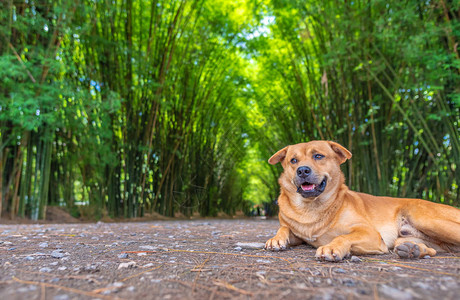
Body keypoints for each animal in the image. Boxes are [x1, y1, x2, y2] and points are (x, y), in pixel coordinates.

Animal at [264, 141, 460, 260]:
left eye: (318, 156)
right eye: (293, 160)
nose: (302, 170)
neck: (311, 208)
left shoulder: (370, 233)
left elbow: (343, 236)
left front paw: (333, 246)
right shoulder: (299, 235)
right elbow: (284, 227)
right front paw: (276, 239)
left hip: (427, 220)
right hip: (409, 238)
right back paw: (414, 250)